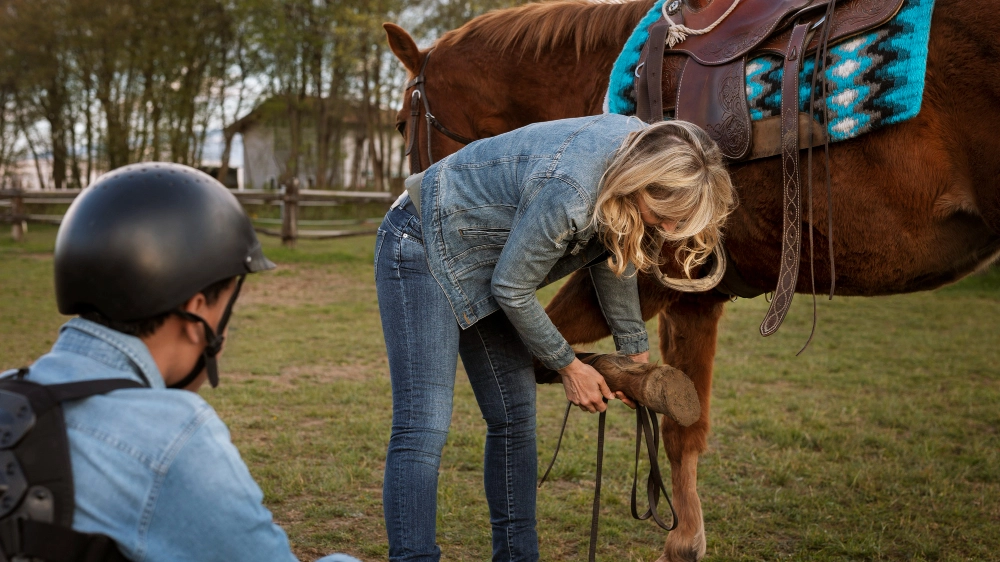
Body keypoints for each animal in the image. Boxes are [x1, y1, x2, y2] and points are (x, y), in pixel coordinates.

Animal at [382, 2, 1000, 556]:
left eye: (400, 123)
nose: (405, 195)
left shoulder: (655, 282)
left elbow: (629, 390)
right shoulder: (695, 295)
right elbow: (685, 417)